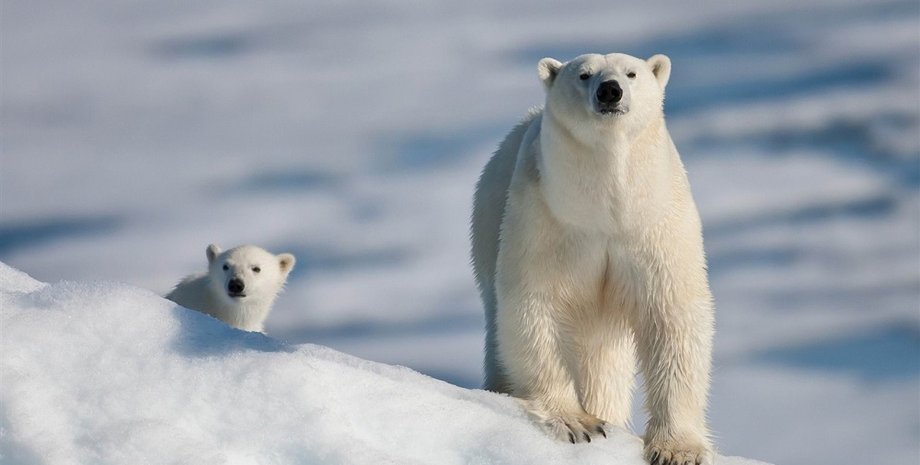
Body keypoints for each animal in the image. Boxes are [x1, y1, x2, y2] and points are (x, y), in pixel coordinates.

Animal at [471, 52, 714, 465]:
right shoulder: (547, 218)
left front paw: (678, 449)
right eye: (584, 75)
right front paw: (578, 423)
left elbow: (672, 316)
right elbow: (535, 306)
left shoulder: (654, 223)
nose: (610, 91)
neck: (606, 208)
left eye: (631, 73)